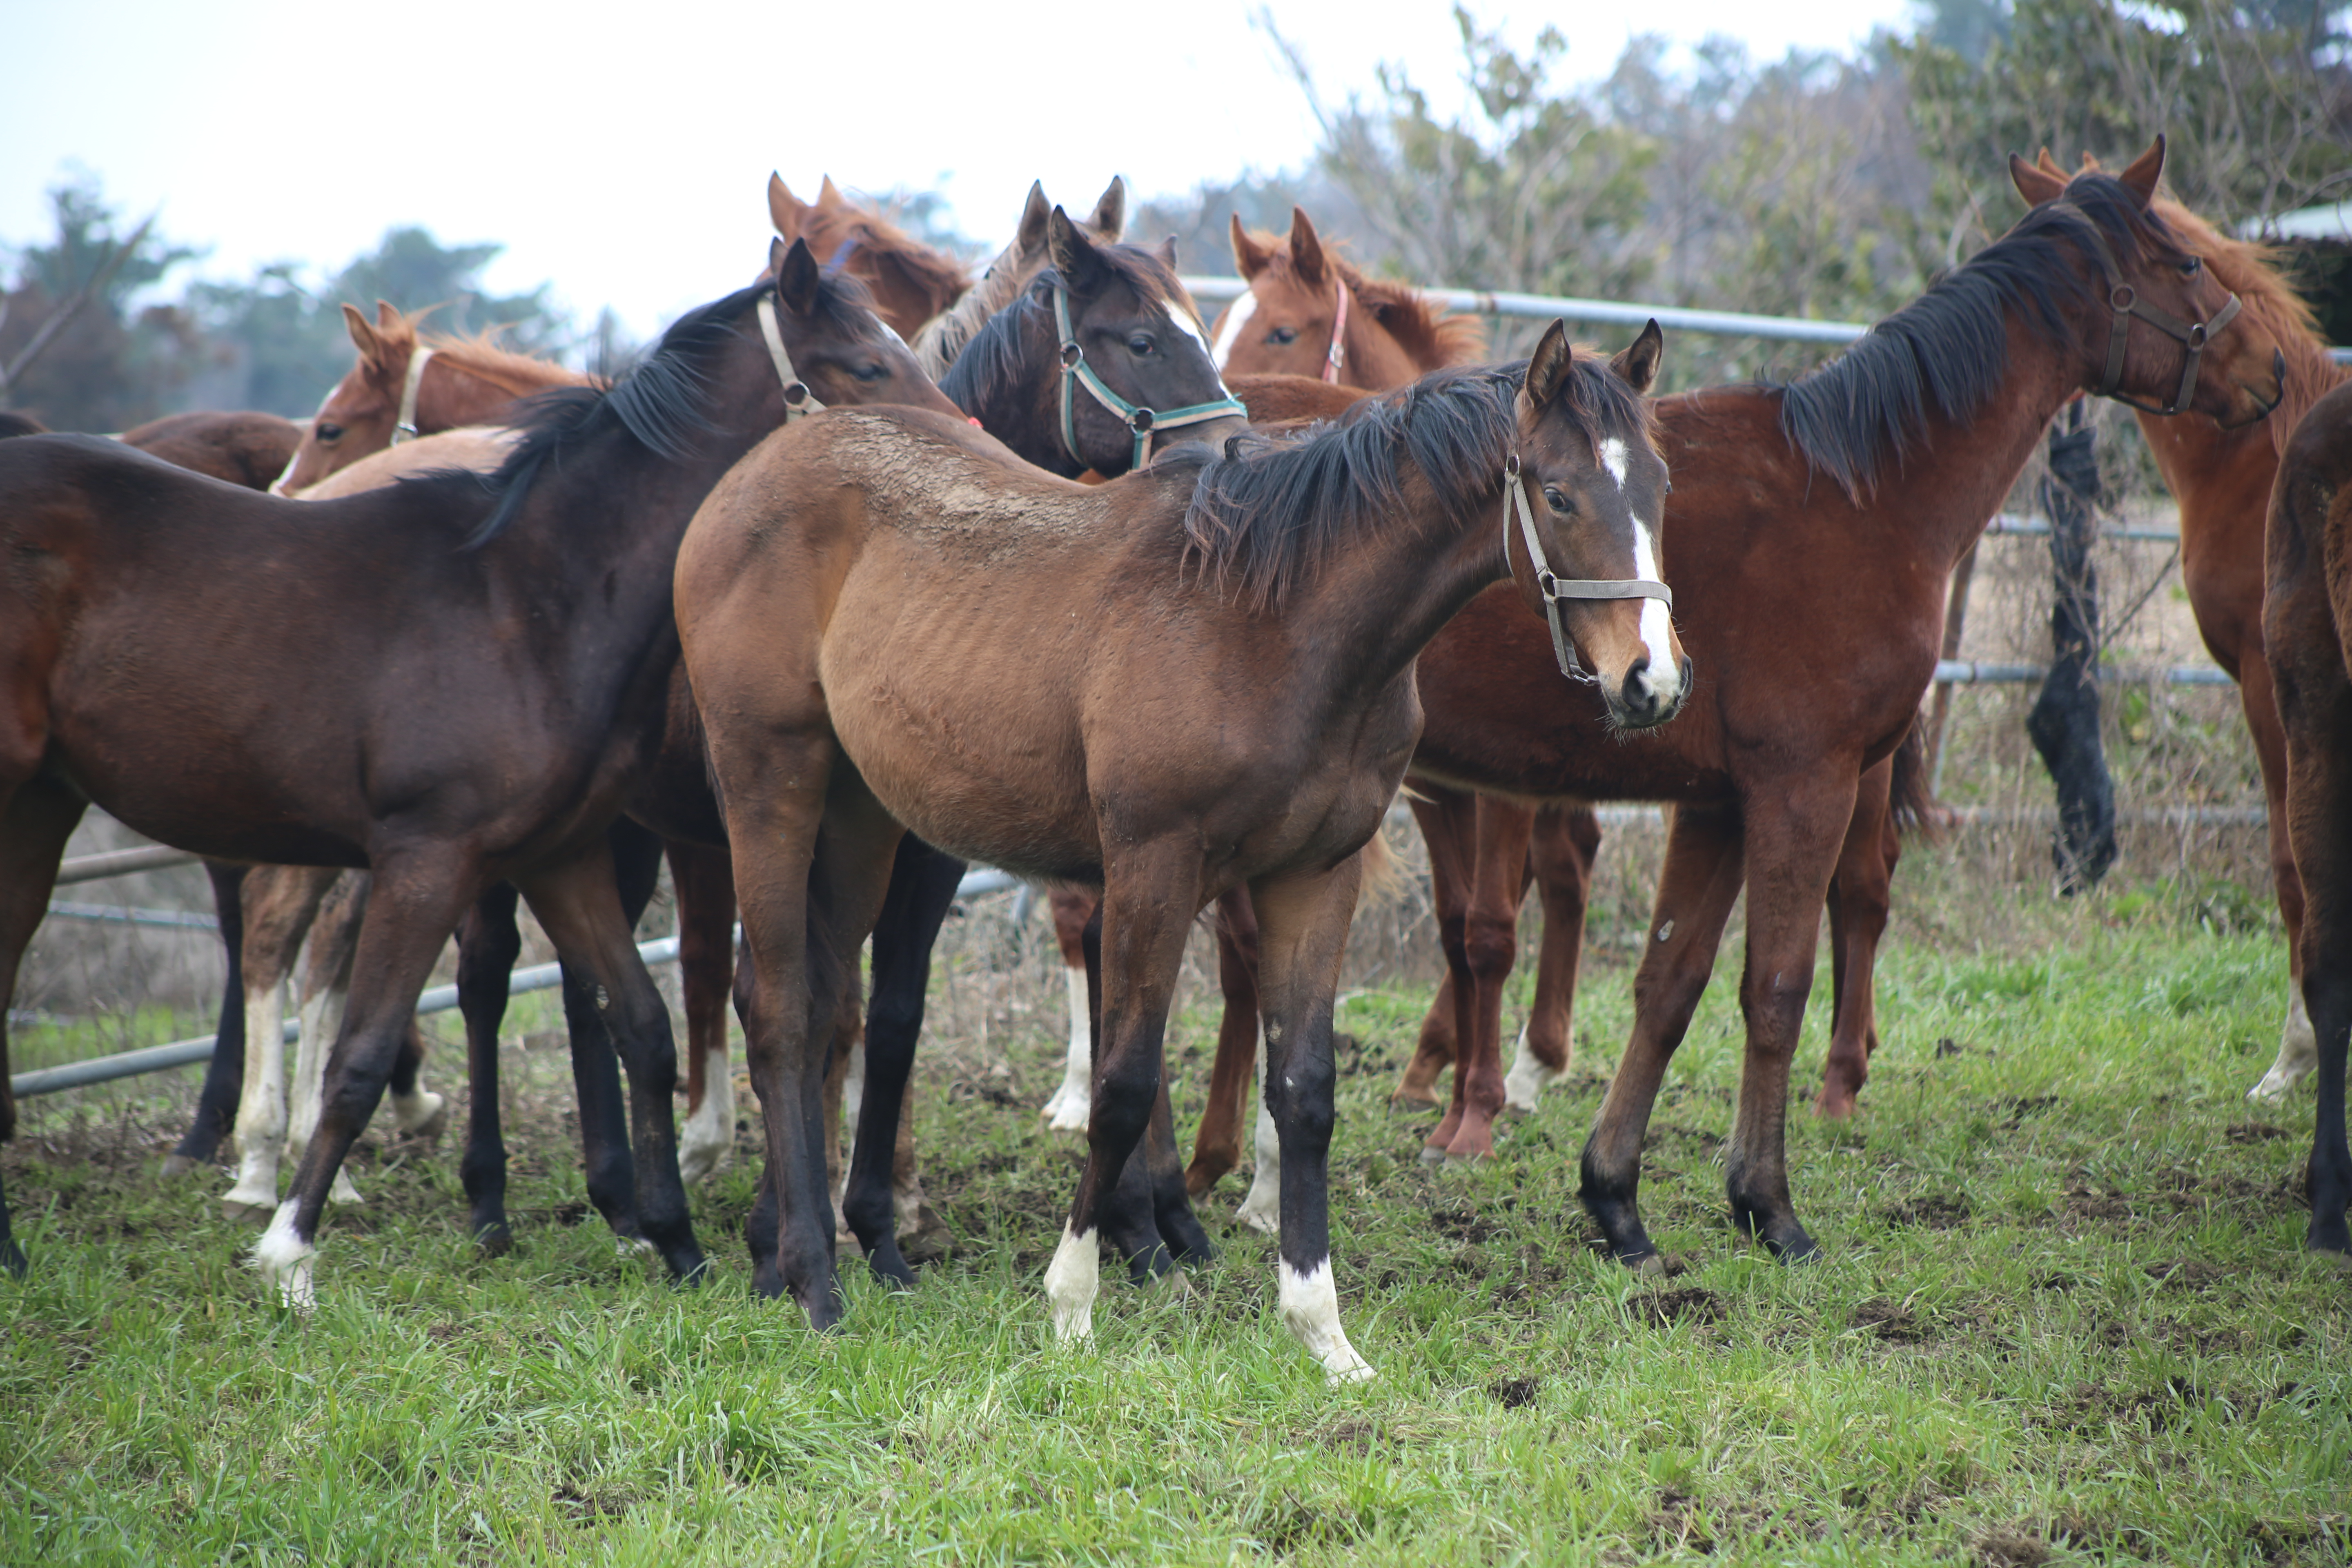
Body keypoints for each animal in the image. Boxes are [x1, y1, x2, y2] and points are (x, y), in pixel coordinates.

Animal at [673, 315, 1684, 1373]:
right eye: (1558, 492)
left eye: (1658, 486)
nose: (1650, 681)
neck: (1268, 620)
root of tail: (748, 480)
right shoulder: (1152, 871)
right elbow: (1120, 1086)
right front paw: (1072, 1302)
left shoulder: (1313, 878)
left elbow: (1306, 1091)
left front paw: (1322, 1332)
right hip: (771, 785)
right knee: (780, 1009)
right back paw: (816, 1285)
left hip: (862, 814)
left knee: (827, 1005)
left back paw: (792, 1257)